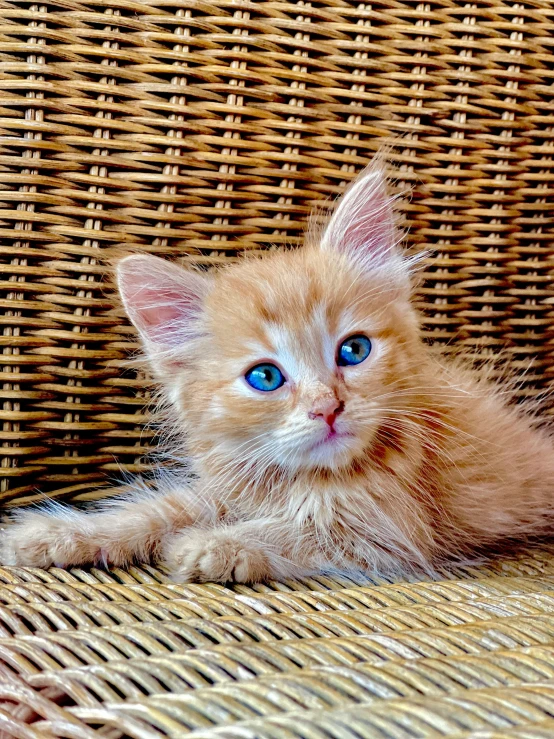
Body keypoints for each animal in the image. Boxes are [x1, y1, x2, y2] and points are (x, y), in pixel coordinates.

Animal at [1, 162, 552, 584]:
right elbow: (155, 510)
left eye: (354, 350)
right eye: (265, 378)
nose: (328, 408)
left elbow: (296, 531)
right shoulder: (229, 486)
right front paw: (60, 534)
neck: (298, 480)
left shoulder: (386, 531)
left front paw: (212, 547)